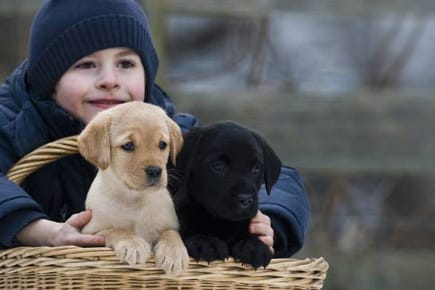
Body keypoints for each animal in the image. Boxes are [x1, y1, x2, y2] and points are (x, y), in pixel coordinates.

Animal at [79, 102, 188, 276]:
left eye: (162, 144)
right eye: (128, 145)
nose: (155, 171)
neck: (134, 199)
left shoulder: (170, 225)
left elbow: (171, 233)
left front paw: (174, 253)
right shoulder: (90, 232)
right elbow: (116, 230)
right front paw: (133, 244)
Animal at [167, 120, 282, 268]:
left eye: (256, 169)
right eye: (218, 165)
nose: (245, 200)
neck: (222, 222)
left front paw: (254, 246)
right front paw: (206, 242)